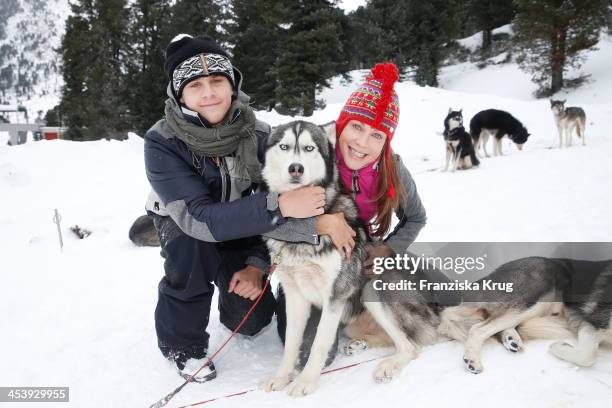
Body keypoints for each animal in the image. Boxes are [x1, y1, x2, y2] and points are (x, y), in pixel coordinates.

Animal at [444, 256, 612, 374]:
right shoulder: (592, 321)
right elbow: (588, 356)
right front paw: (558, 346)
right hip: (534, 300)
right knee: (478, 328)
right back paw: (472, 360)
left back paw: (511, 339)